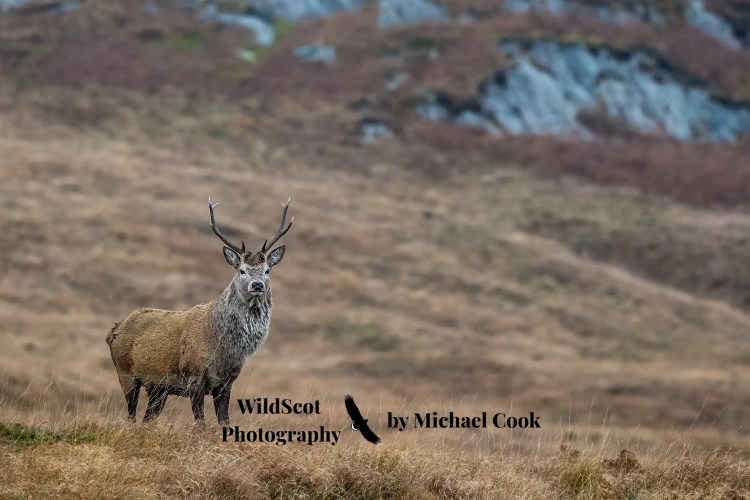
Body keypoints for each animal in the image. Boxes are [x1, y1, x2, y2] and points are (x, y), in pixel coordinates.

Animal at [106, 198, 293, 425]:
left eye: (267, 270)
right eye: (241, 270)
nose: (257, 285)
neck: (224, 348)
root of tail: (113, 331)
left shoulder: (226, 383)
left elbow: (224, 422)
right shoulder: (194, 377)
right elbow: (201, 424)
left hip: (158, 388)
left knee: (147, 418)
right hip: (125, 374)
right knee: (131, 416)